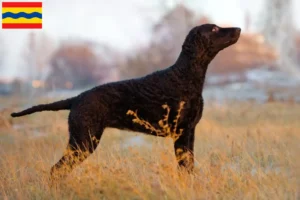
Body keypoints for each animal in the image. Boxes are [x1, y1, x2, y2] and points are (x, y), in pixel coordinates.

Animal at [10, 23, 241, 178]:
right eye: (214, 29)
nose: (238, 29)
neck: (184, 75)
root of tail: (77, 98)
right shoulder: (181, 132)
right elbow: (185, 168)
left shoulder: (189, 132)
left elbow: (189, 167)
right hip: (84, 140)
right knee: (56, 170)